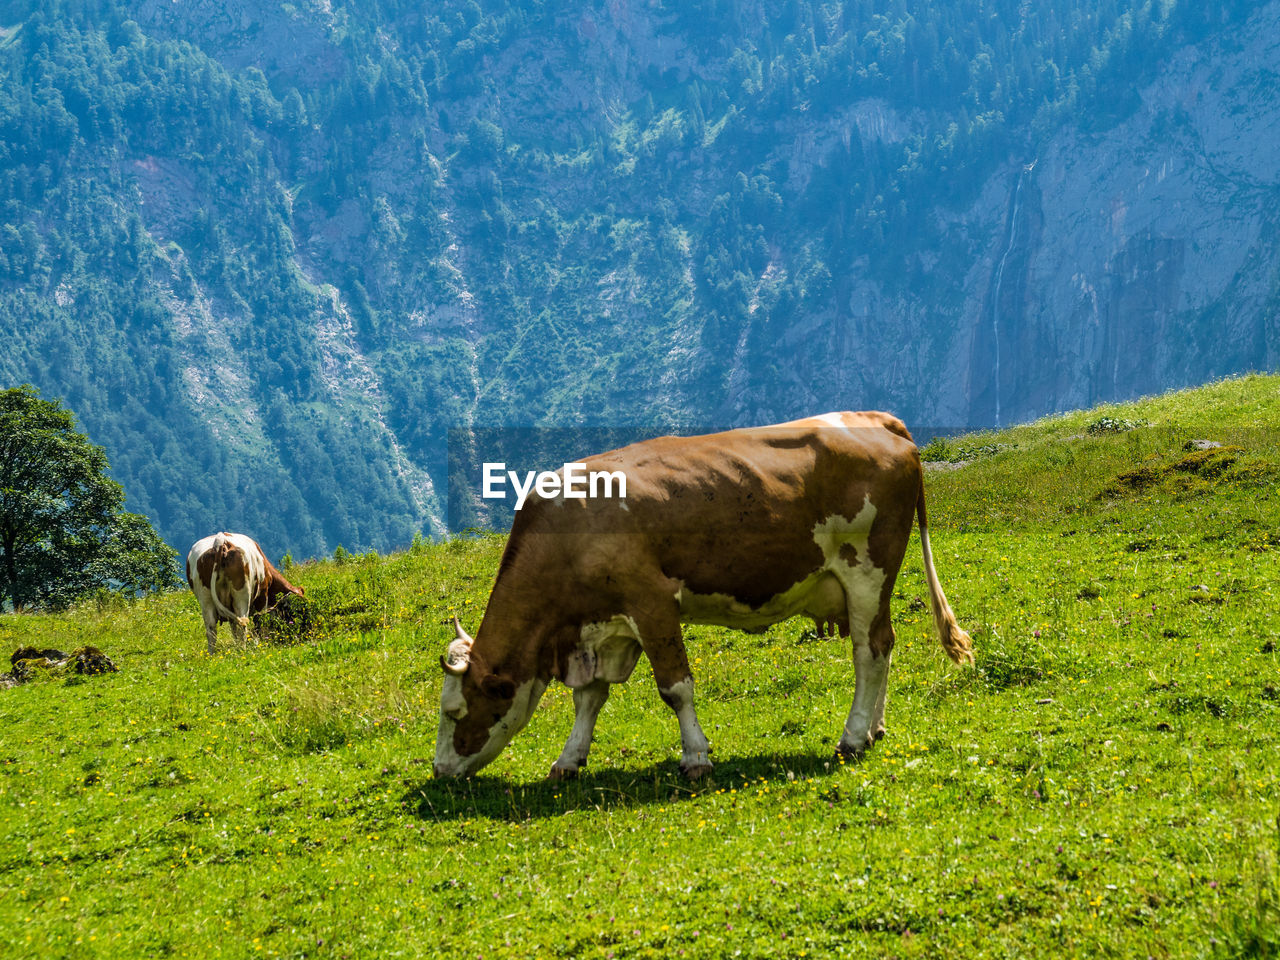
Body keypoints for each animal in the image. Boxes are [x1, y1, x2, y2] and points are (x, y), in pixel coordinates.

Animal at [184, 529, 303, 660]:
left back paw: (212, 654)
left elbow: (234, 628)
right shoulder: (262, 596)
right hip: (242, 595)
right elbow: (259, 621)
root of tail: (221, 541)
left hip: (206, 599)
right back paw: (243, 651)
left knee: (211, 628)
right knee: (243, 624)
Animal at [435, 414, 972, 783]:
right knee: (885, 643)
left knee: (869, 651)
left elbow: (675, 688)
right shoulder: (601, 627)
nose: (439, 772)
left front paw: (695, 757)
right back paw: (875, 728)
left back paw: (853, 736)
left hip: (866, 570)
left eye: (455, 713)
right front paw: (569, 760)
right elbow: (589, 699)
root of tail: (874, 419)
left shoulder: (651, 602)